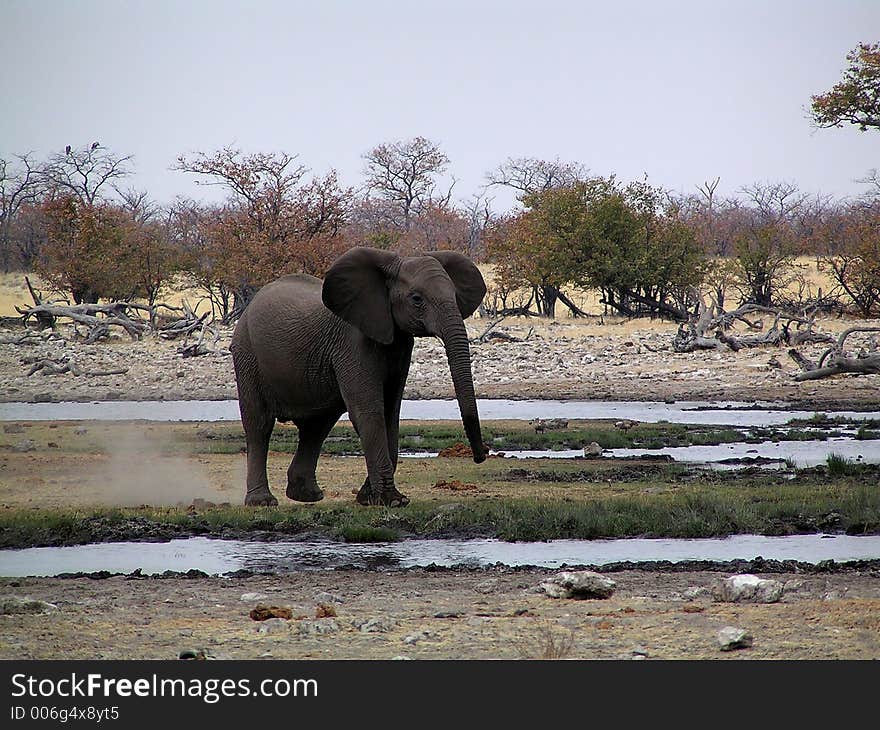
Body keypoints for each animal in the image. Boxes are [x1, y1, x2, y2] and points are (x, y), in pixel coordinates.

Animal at [230, 245, 488, 506]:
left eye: (455, 295)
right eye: (417, 299)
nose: (482, 455)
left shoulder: (399, 344)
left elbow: (390, 412)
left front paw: (369, 499)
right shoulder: (352, 342)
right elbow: (369, 411)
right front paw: (392, 501)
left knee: (317, 426)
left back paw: (307, 496)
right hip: (247, 354)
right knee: (259, 424)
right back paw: (262, 502)